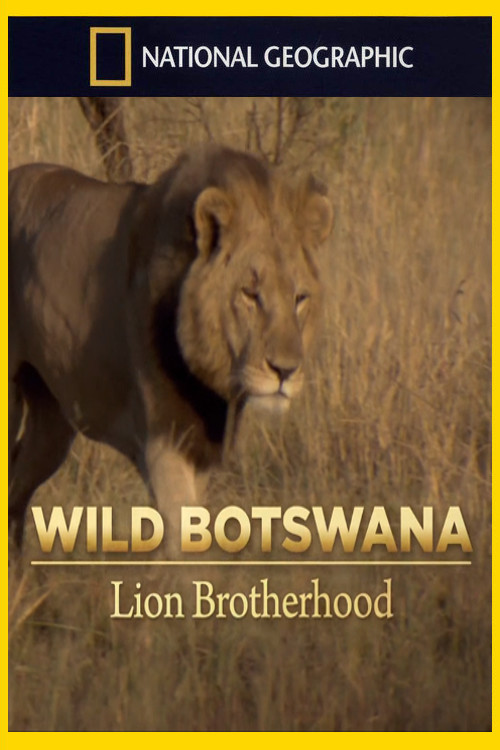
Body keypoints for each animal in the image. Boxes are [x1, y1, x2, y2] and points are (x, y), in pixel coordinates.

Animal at [8, 144, 333, 547]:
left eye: (299, 298)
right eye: (250, 294)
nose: (285, 371)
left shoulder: (203, 448)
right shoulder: (164, 440)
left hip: (52, 422)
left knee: (17, 487)